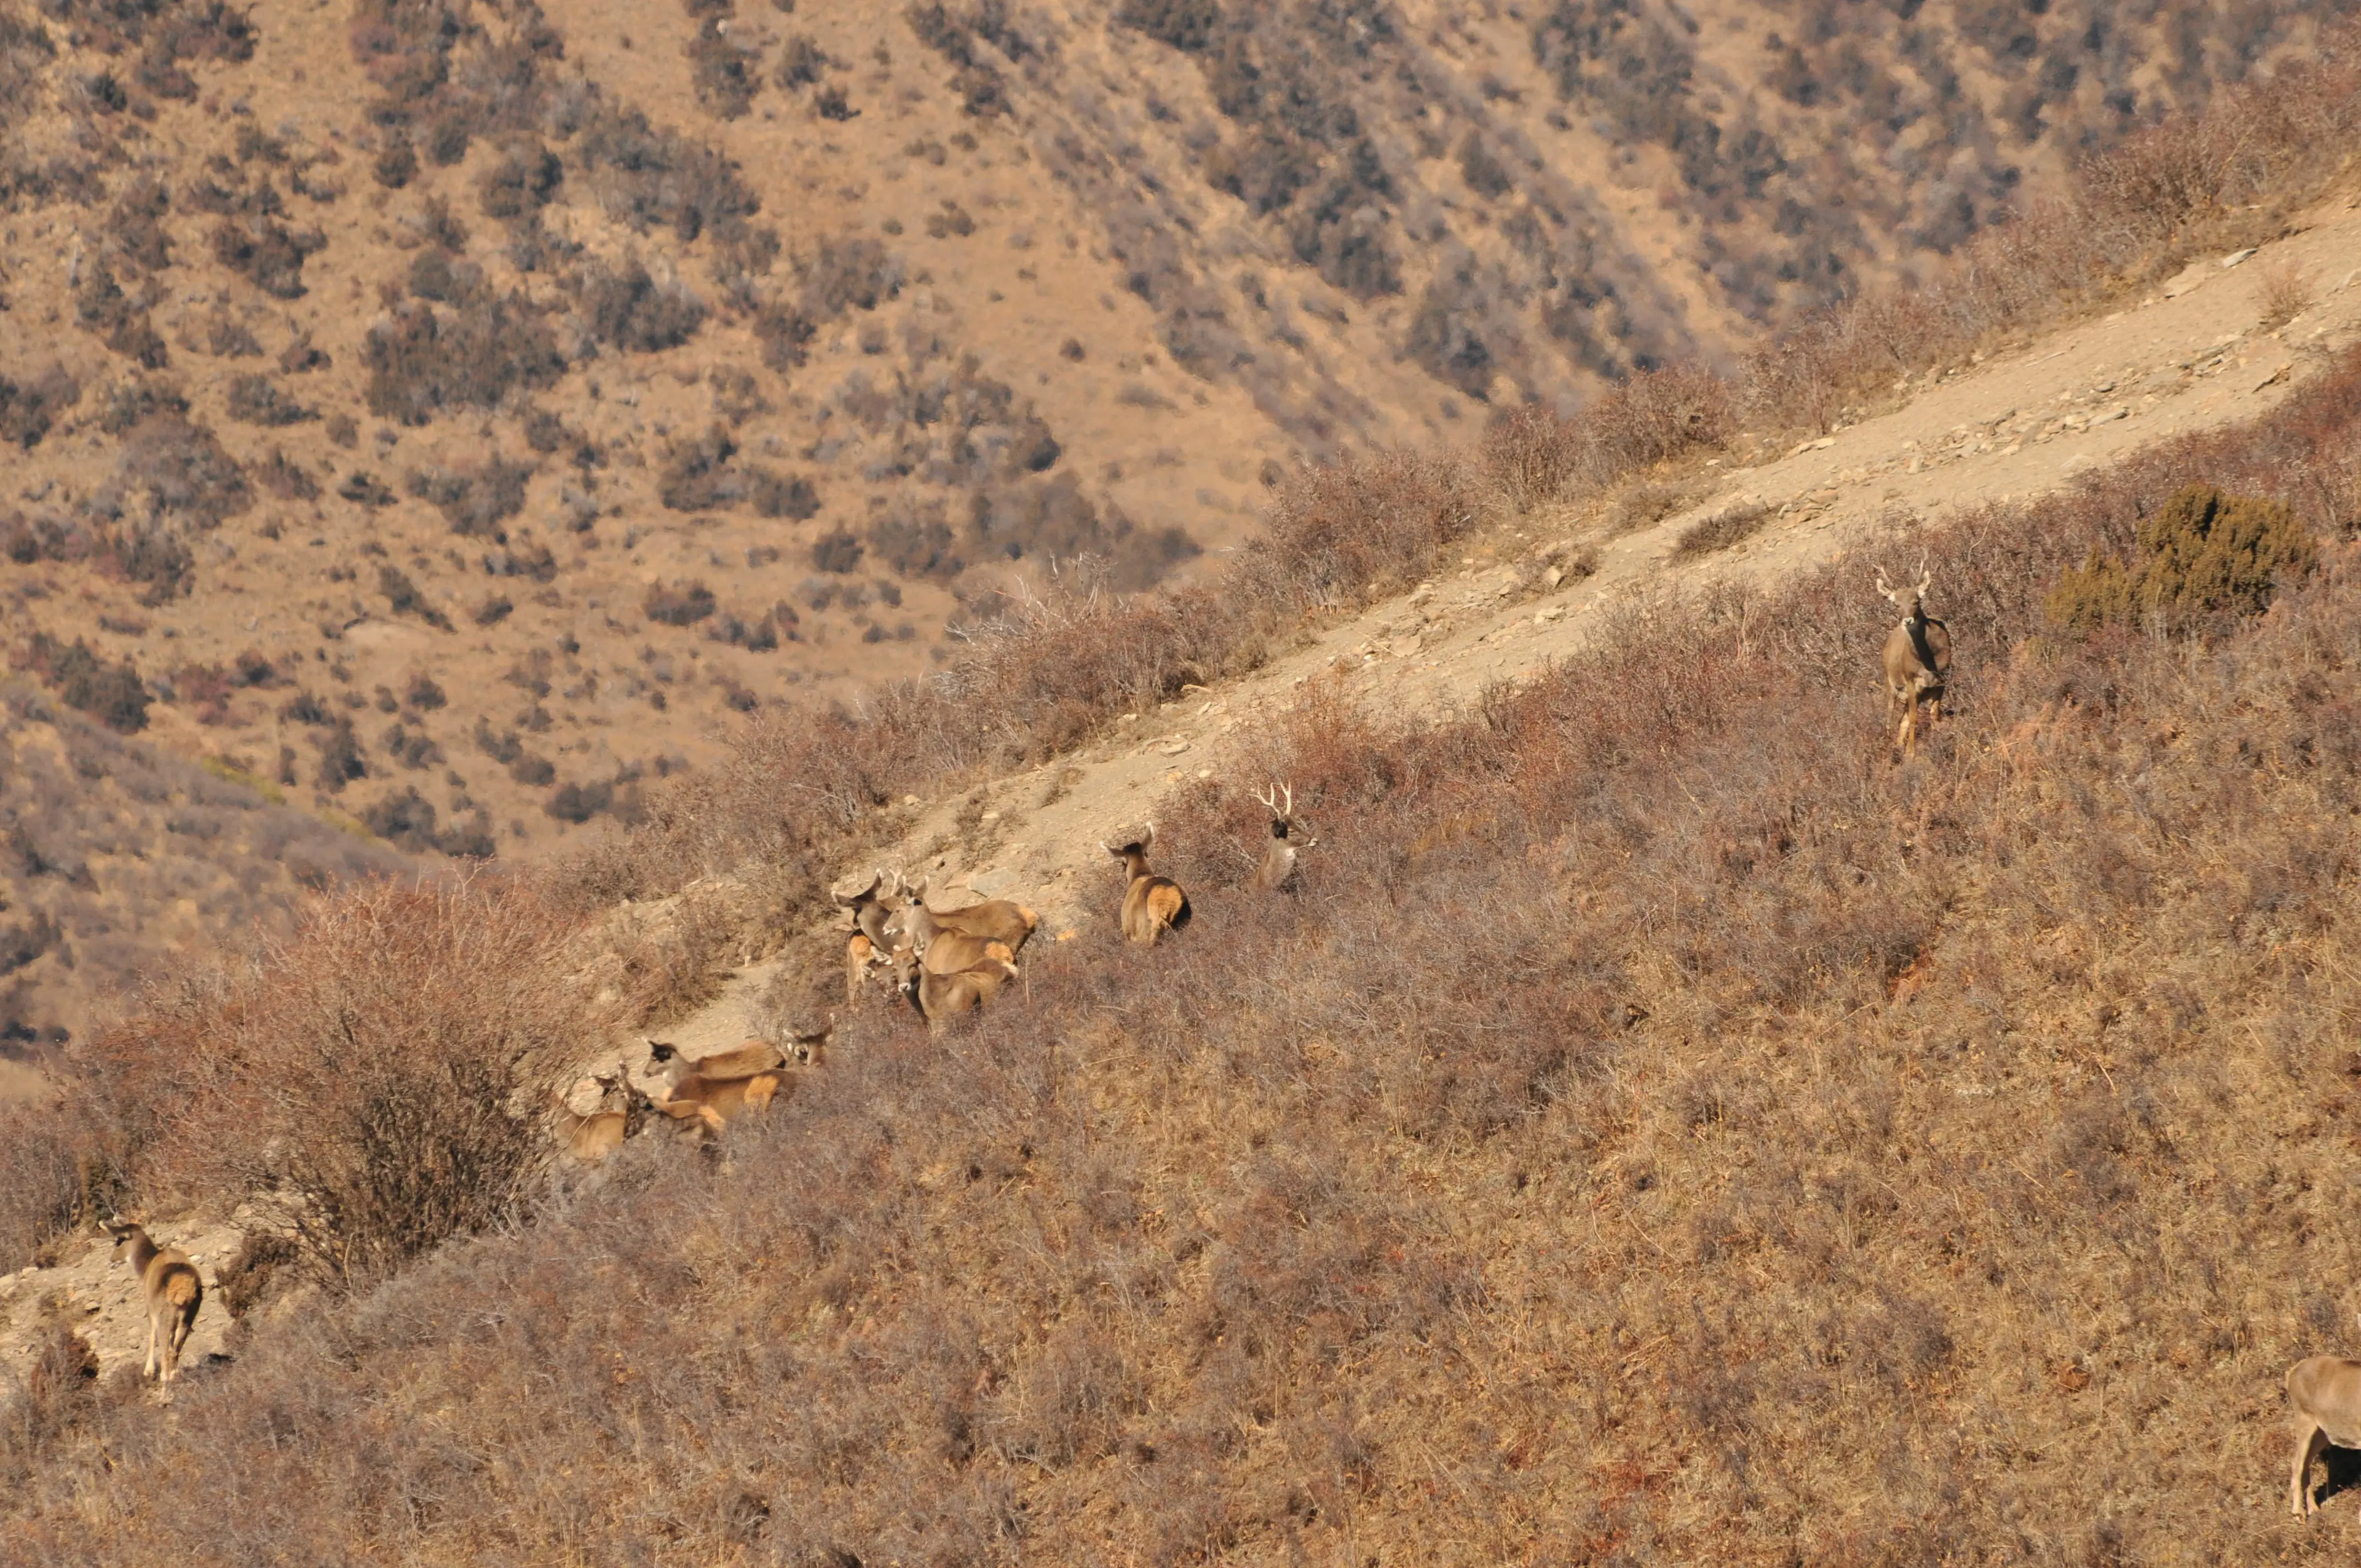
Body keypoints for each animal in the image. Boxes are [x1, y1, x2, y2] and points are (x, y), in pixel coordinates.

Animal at [103, 1220, 203, 1387]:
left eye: (118, 1241)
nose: (111, 1260)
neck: (145, 1267)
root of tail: (184, 1291)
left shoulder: (150, 1307)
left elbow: (151, 1335)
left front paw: (148, 1371)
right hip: (189, 1317)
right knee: (175, 1350)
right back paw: (175, 1376)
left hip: (165, 1315)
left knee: (165, 1348)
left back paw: (165, 1379)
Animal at [1875, 556, 1953, 760]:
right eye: (1896, 604)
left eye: (1916, 601)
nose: (1907, 620)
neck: (1927, 661)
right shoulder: (1911, 680)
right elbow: (1914, 717)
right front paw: (1911, 752)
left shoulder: (1943, 677)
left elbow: (1934, 713)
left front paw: (1938, 736)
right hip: (1891, 684)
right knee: (1890, 717)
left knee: (1901, 719)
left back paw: (1898, 746)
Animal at [2288, 1322, 2361, 1517]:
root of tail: (2291, 1373)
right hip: (2304, 1418)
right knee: (2297, 1463)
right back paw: (2299, 1513)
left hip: (2322, 1433)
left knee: (2306, 1463)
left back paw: (2313, 1508)